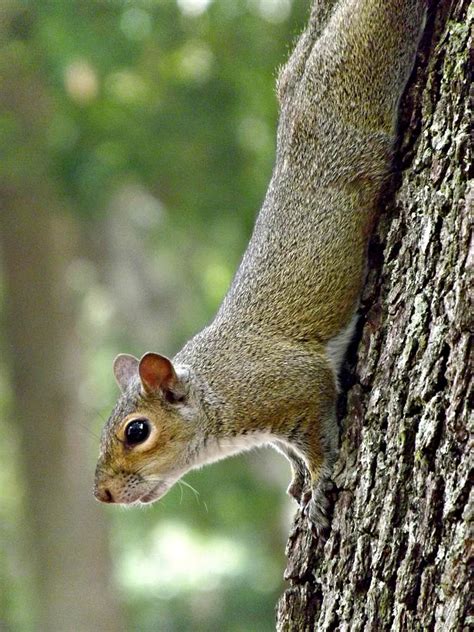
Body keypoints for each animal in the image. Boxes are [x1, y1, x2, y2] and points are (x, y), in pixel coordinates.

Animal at [92, 0, 426, 532]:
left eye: (136, 431)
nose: (100, 493)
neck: (214, 390)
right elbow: (291, 452)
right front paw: (297, 479)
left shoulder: (296, 385)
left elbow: (319, 440)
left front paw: (318, 489)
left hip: (365, 71)